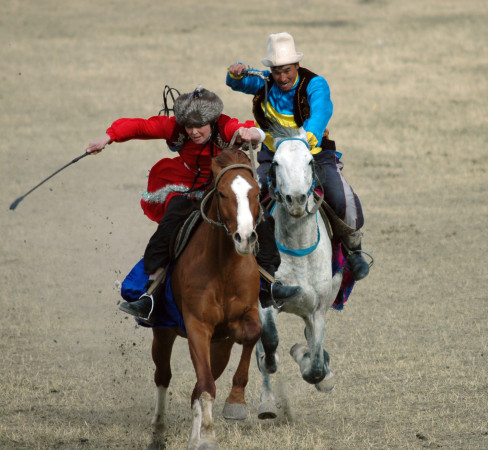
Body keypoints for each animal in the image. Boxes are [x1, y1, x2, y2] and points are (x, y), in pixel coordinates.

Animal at [149, 149, 264, 448]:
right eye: (222, 193)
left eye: (257, 192)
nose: (245, 238)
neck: (224, 267)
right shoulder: (197, 326)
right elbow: (205, 385)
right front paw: (210, 435)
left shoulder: (243, 317)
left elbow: (252, 334)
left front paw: (235, 402)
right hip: (163, 333)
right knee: (164, 376)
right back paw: (158, 430)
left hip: (220, 348)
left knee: (196, 386)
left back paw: (193, 438)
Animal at [255, 123, 344, 418]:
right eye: (275, 163)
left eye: (309, 161)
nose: (295, 200)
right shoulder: (265, 299)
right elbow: (269, 342)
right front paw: (276, 357)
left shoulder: (318, 309)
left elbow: (315, 367)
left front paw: (304, 356)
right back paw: (267, 403)